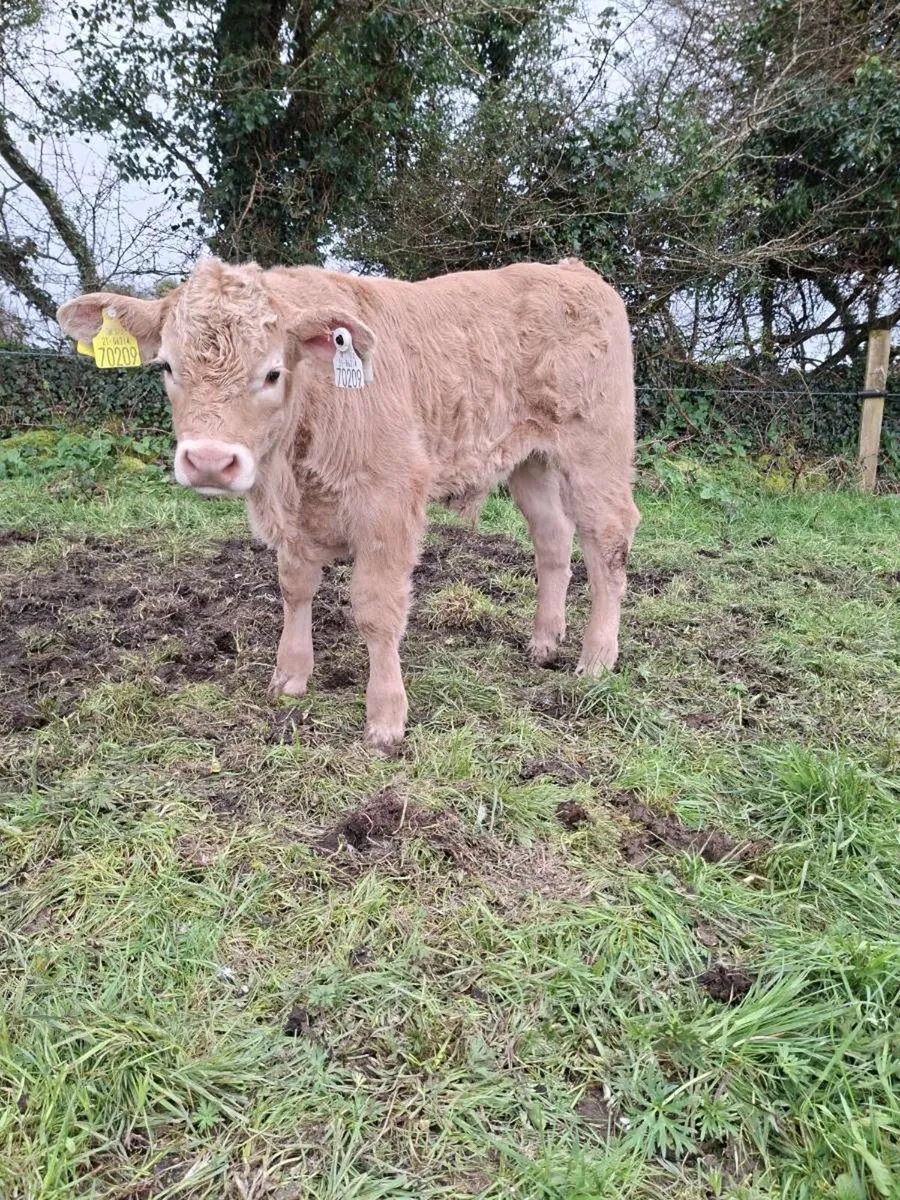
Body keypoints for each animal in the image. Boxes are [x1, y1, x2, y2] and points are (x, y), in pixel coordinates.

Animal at [57, 257, 640, 750]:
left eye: (272, 372)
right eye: (167, 367)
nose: (208, 460)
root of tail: (572, 270)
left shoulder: (390, 503)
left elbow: (377, 611)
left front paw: (385, 718)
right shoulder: (293, 520)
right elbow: (294, 589)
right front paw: (290, 674)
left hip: (596, 451)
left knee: (608, 543)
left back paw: (596, 659)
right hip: (530, 460)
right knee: (553, 538)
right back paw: (545, 641)